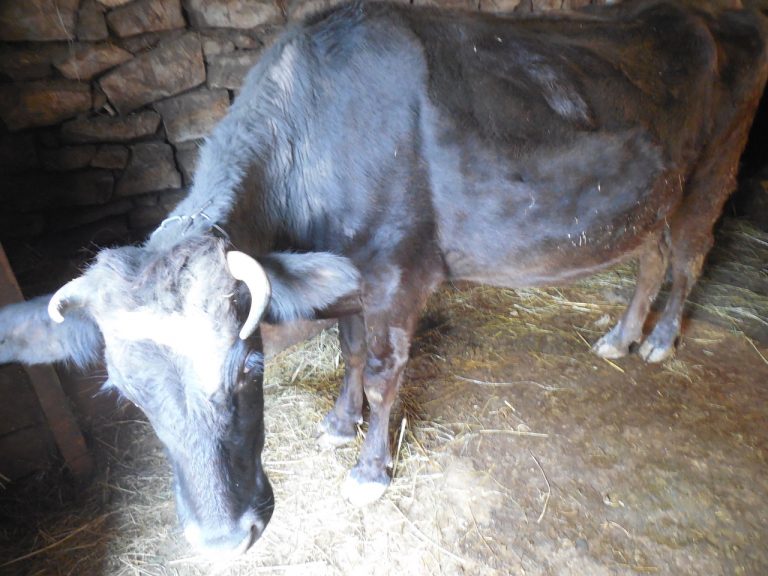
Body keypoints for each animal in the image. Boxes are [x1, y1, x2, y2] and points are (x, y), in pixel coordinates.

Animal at [1, 0, 766, 557]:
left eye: (249, 369)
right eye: (125, 394)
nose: (222, 539)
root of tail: (712, 15)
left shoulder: (399, 273)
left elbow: (380, 371)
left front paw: (370, 471)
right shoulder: (345, 273)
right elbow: (345, 351)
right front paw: (340, 425)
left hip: (711, 173)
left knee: (689, 256)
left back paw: (660, 341)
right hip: (650, 200)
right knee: (652, 257)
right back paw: (621, 336)